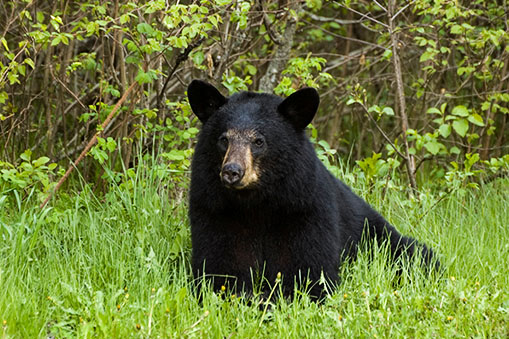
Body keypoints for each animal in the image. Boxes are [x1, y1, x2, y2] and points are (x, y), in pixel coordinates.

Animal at [189, 80, 434, 300]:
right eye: (223, 139)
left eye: (259, 141)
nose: (232, 171)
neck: (255, 202)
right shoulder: (215, 210)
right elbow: (219, 270)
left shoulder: (304, 209)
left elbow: (309, 273)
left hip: (377, 236)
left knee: (415, 255)